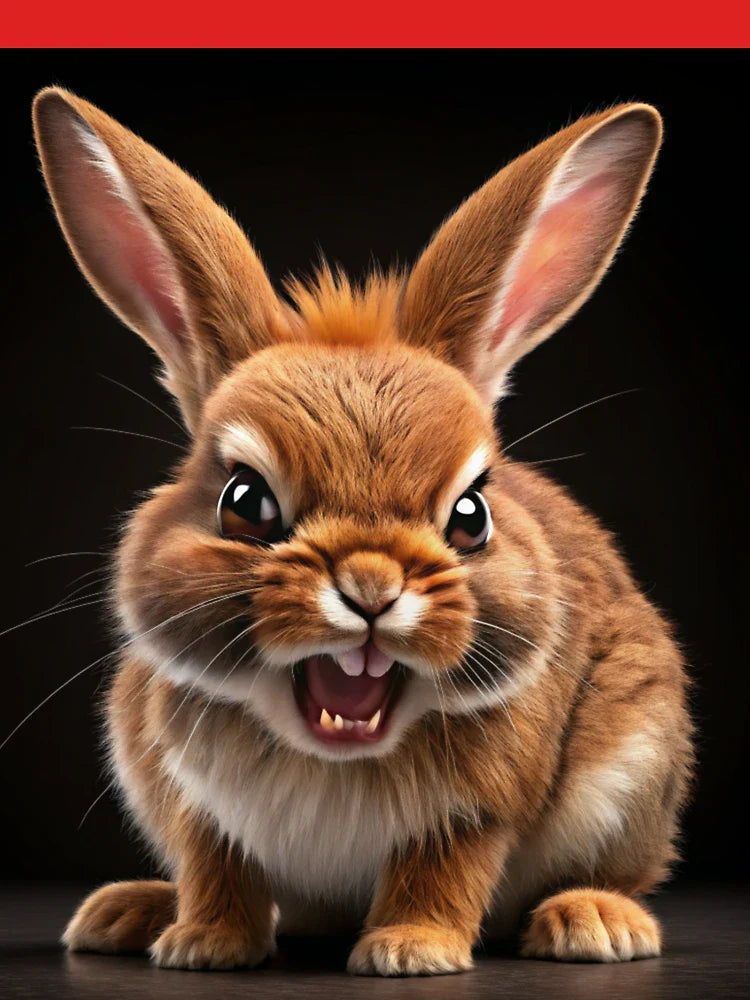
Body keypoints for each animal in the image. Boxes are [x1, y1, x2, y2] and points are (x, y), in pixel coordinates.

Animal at [32, 87, 693, 976]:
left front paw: (411, 952)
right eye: (245, 502)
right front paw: (204, 945)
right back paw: (127, 912)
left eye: (471, 516)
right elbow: (215, 865)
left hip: (638, 758)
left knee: (619, 871)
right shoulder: (199, 807)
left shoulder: (474, 811)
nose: (371, 586)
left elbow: (442, 870)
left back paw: (594, 921)